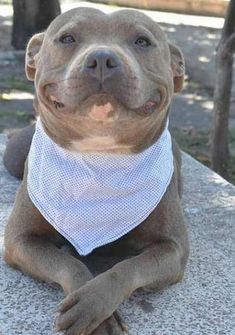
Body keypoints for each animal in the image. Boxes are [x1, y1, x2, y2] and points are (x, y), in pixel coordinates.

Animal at [3, 7, 189, 335]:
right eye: (67, 38)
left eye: (142, 41)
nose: (102, 58)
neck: (99, 156)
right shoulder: (19, 240)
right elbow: (70, 263)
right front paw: (94, 310)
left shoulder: (173, 249)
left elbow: (127, 267)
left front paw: (96, 305)